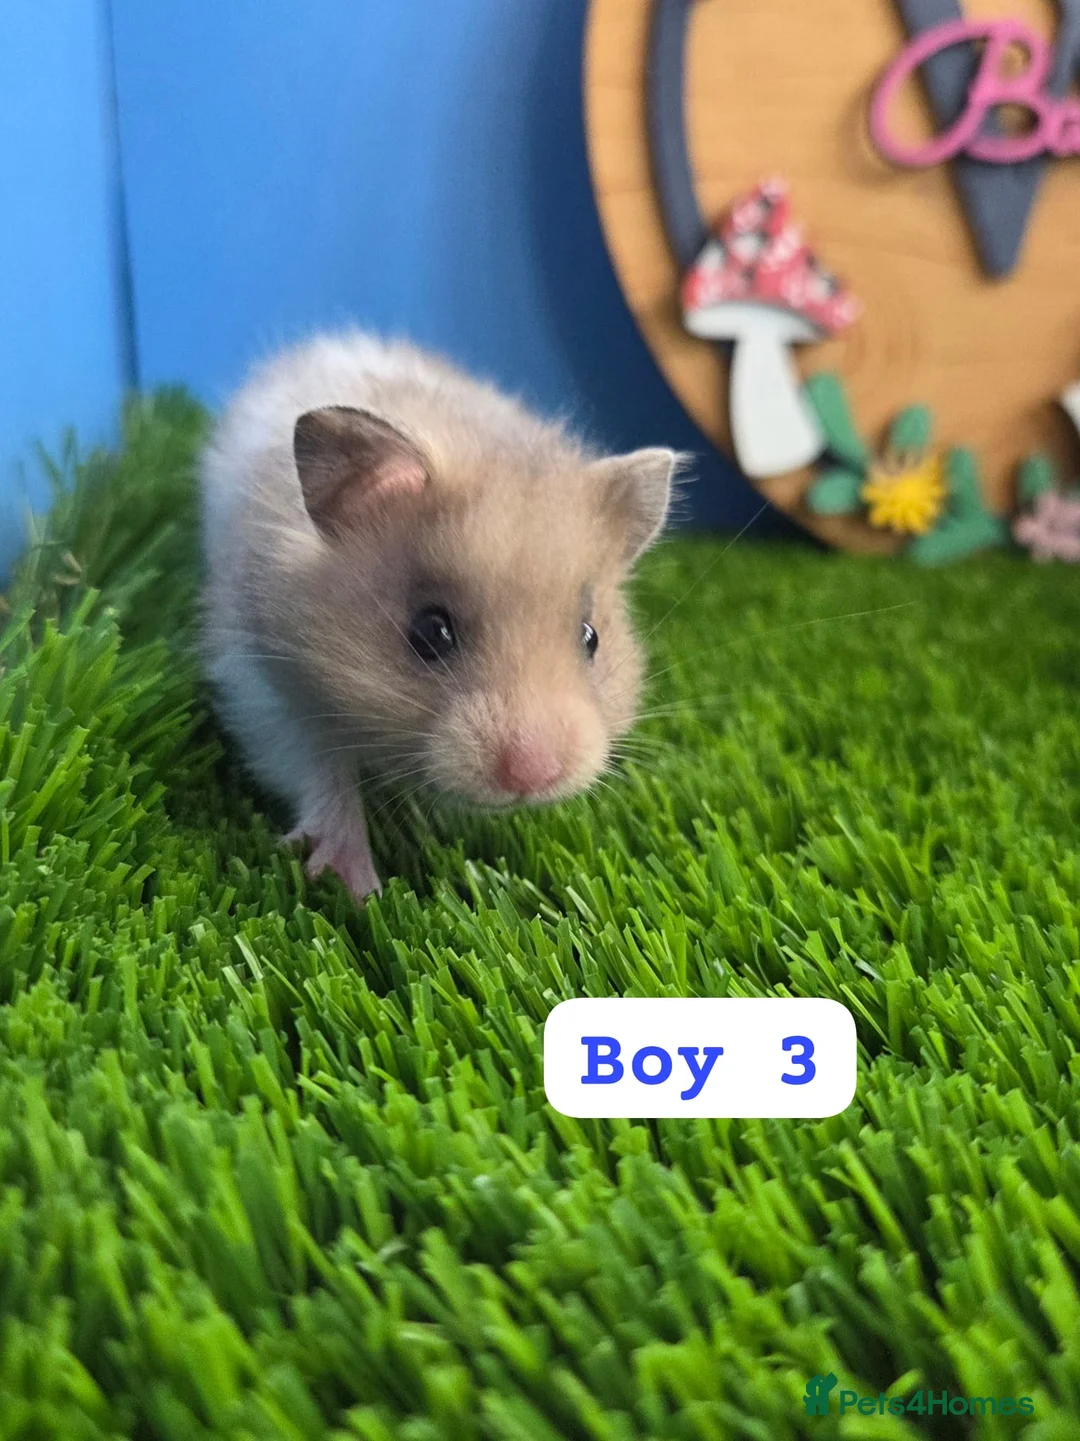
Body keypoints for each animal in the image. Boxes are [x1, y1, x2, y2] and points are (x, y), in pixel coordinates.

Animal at [200, 331, 681, 901]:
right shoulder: (261, 684)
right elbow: (320, 774)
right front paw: (359, 890)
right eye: (430, 632)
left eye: (592, 638)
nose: (532, 778)